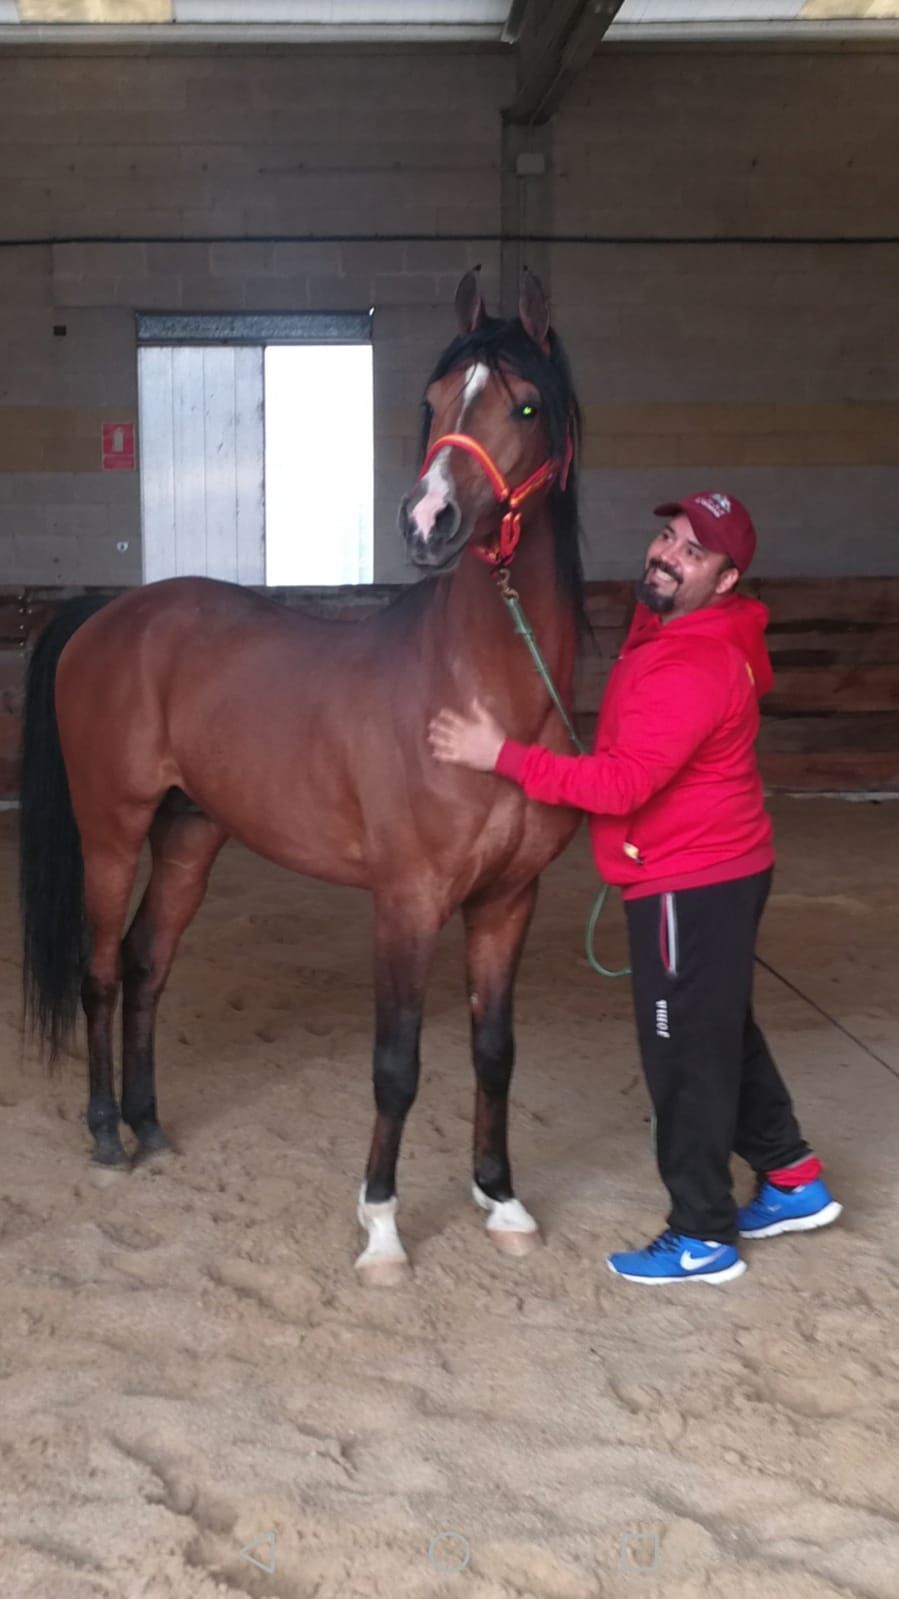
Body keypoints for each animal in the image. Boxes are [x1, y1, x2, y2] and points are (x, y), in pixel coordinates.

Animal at [20, 268, 585, 1279]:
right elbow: (397, 1064)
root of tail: (109, 612)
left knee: (147, 965)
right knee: (100, 971)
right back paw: (105, 1133)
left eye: (525, 404)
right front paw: (382, 1229)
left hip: (190, 835)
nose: (426, 521)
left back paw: (151, 1126)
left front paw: (501, 1198)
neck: (479, 696)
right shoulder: (406, 903)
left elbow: (493, 1050)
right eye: (434, 399)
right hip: (111, 833)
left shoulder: (507, 900)